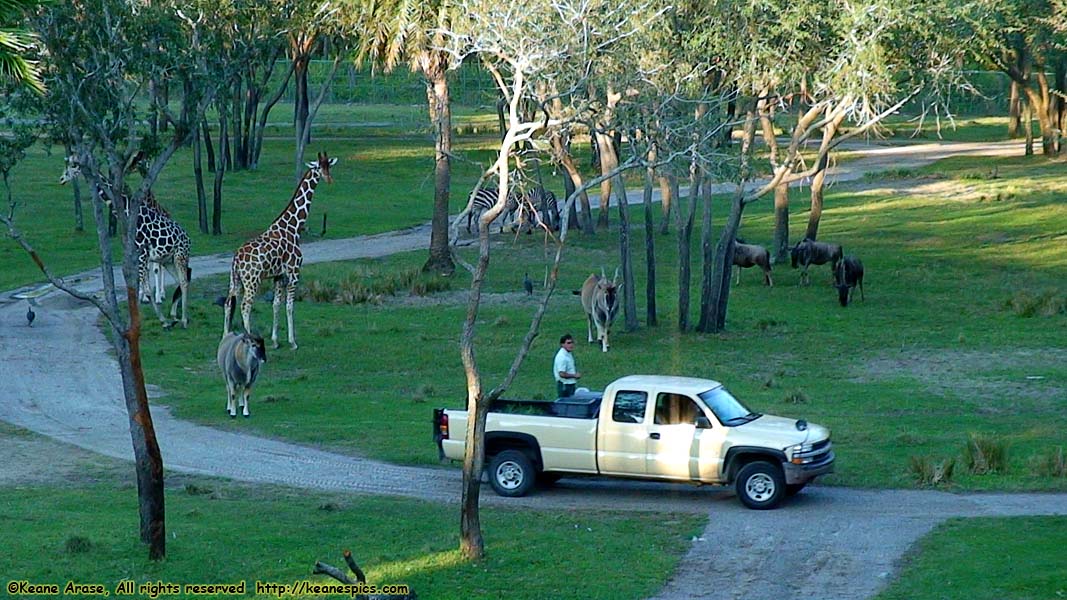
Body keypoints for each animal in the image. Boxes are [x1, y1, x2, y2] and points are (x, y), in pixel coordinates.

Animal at [59, 153, 192, 326]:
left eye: (74, 166)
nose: (62, 178)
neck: (128, 211)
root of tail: (188, 238)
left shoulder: (142, 253)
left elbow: (146, 287)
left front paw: (161, 320)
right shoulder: (135, 254)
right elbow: (137, 285)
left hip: (180, 256)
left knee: (184, 281)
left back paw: (184, 319)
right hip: (168, 260)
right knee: (179, 281)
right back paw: (174, 315)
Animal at [225, 150, 337, 350]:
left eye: (328, 165)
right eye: (318, 167)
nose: (328, 179)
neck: (293, 227)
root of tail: (236, 259)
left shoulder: (278, 275)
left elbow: (276, 304)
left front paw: (276, 341)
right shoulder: (294, 272)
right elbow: (290, 306)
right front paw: (293, 342)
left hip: (235, 279)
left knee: (229, 303)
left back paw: (225, 337)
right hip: (252, 281)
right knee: (245, 306)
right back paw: (249, 339)